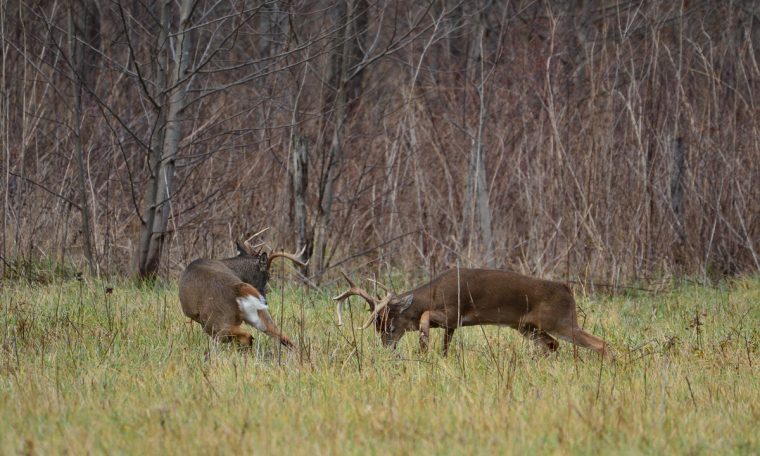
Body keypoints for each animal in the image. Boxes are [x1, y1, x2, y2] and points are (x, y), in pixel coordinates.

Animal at [180, 228, 308, 350]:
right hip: (259, 315)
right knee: (284, 338)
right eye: (268, 276)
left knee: (246, 336)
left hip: (215, 321)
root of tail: (237, 289)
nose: (265, 300)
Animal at [332, 268, 612, 360]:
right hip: (527, 327)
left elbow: (425, 317)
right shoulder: (452, 326)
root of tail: (567, 289)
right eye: (377, 326)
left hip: (560, 321)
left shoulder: (454, 312)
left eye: (389, 325)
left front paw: (423, 343)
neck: (433, 294)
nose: (386, 347)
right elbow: (445, 346)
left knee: (601, 344)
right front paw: (435, 354)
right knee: (553, 346)